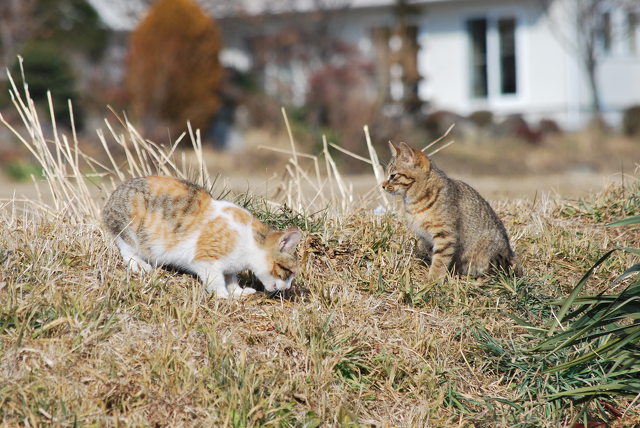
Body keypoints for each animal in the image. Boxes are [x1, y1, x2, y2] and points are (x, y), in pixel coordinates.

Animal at [103, 176, 302, 298]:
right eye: (288, 271)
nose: (287, 288)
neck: (248, 240)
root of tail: (111, 198)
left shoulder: (229, 268)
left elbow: (231, 279)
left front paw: (238, 292)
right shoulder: (207, 260)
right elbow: (216, 281)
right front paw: (223, 296)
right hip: (129, 229)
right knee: (126, 249)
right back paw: (139, 264)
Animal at [380, 140, 516, 280]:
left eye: (393, 176)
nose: (382, 185)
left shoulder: (445, 235)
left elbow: (440, 260)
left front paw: (433, 280)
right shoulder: (427, 239)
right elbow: (435, 256)